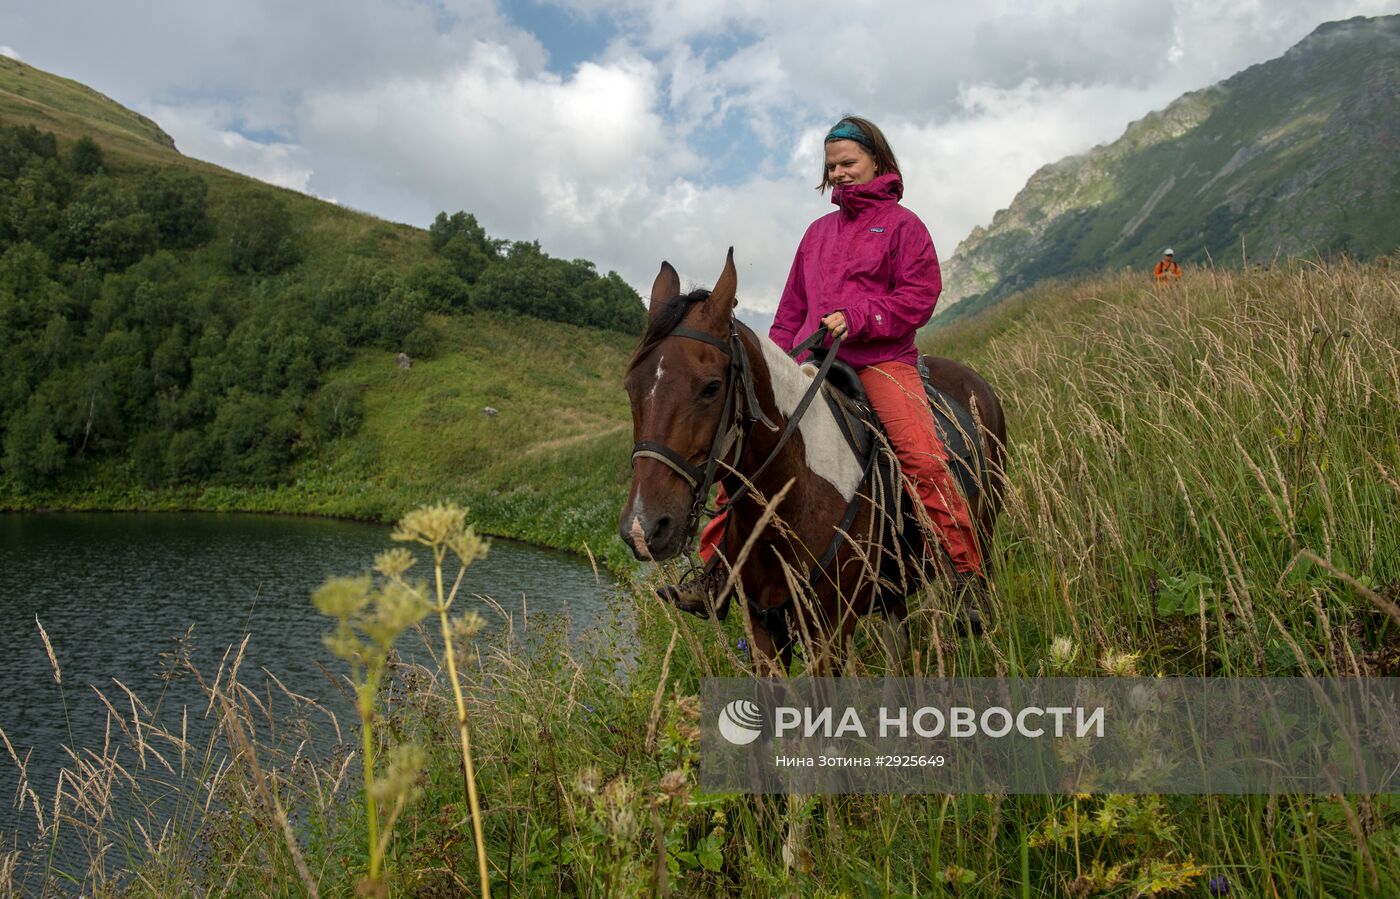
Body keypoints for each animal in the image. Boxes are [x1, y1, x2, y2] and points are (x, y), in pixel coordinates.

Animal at [618, 249, 1002, 669]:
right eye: (630, 388)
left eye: (711, 387)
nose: (642, 528)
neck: (792, 498)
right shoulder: (763, 631)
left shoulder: (829, 631)